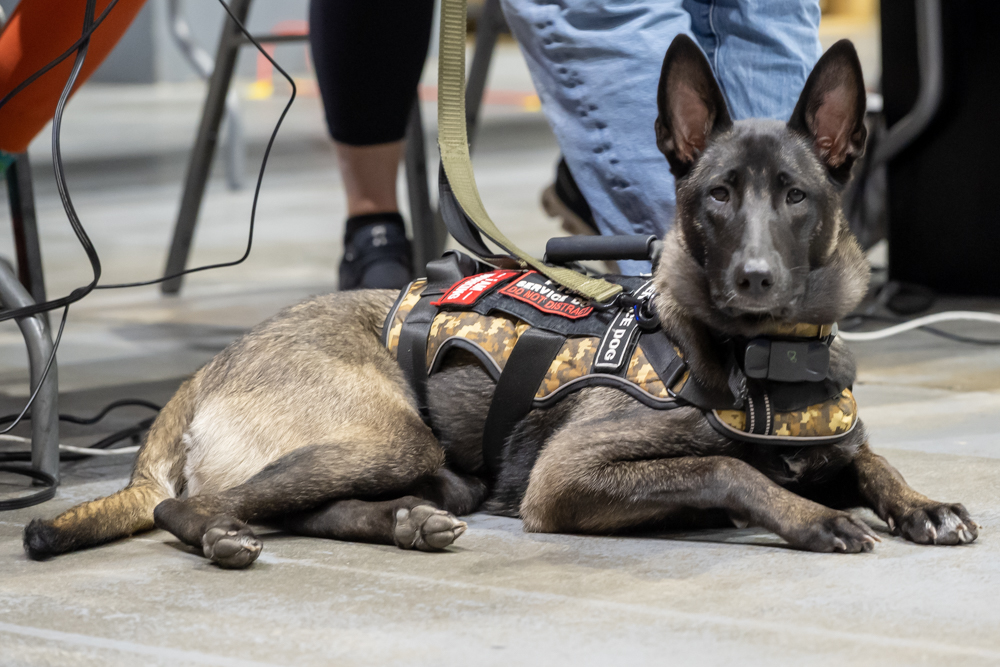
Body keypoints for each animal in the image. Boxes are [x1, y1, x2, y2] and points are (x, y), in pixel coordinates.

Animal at [21, 36, 976, 568]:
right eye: (716, 196)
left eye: (795, 197)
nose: (754, 279)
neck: (765, 363)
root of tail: (207, 369)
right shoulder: (567, 478)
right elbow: (729, 467)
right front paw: (815, 517)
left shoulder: (834, 440)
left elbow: (871, 460)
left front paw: (923, 502)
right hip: (389, 434)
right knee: (195, 507)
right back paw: (230, 537)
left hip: (421, 462)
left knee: (298, 505)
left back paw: (408, 522)